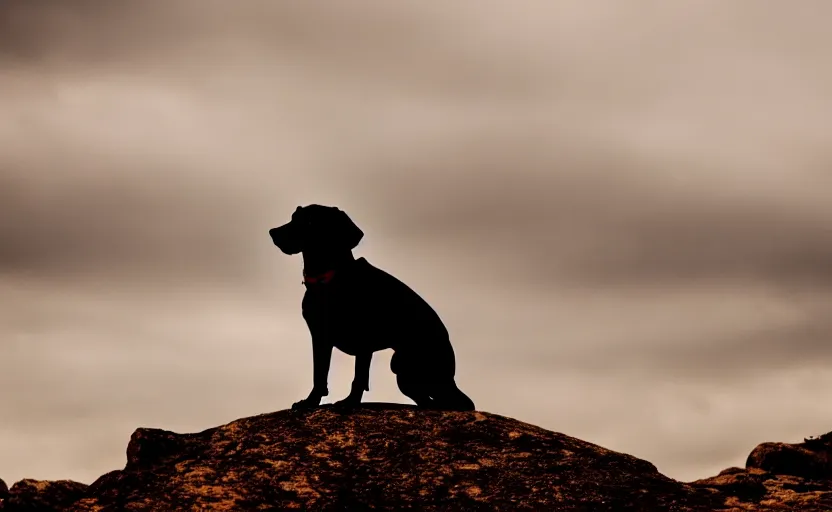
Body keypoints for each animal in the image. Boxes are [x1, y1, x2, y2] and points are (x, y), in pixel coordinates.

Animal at [268, 204, 474, 412]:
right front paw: (310, 402)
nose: (273, 232)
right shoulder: (320, 337)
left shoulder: (363, 341)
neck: (329, 280)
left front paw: (350, 402)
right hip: (404, 372)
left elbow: (359, 377)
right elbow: (319, 375)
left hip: (414, 367)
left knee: (457, 402)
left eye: (310, 221)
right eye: (294, 216)